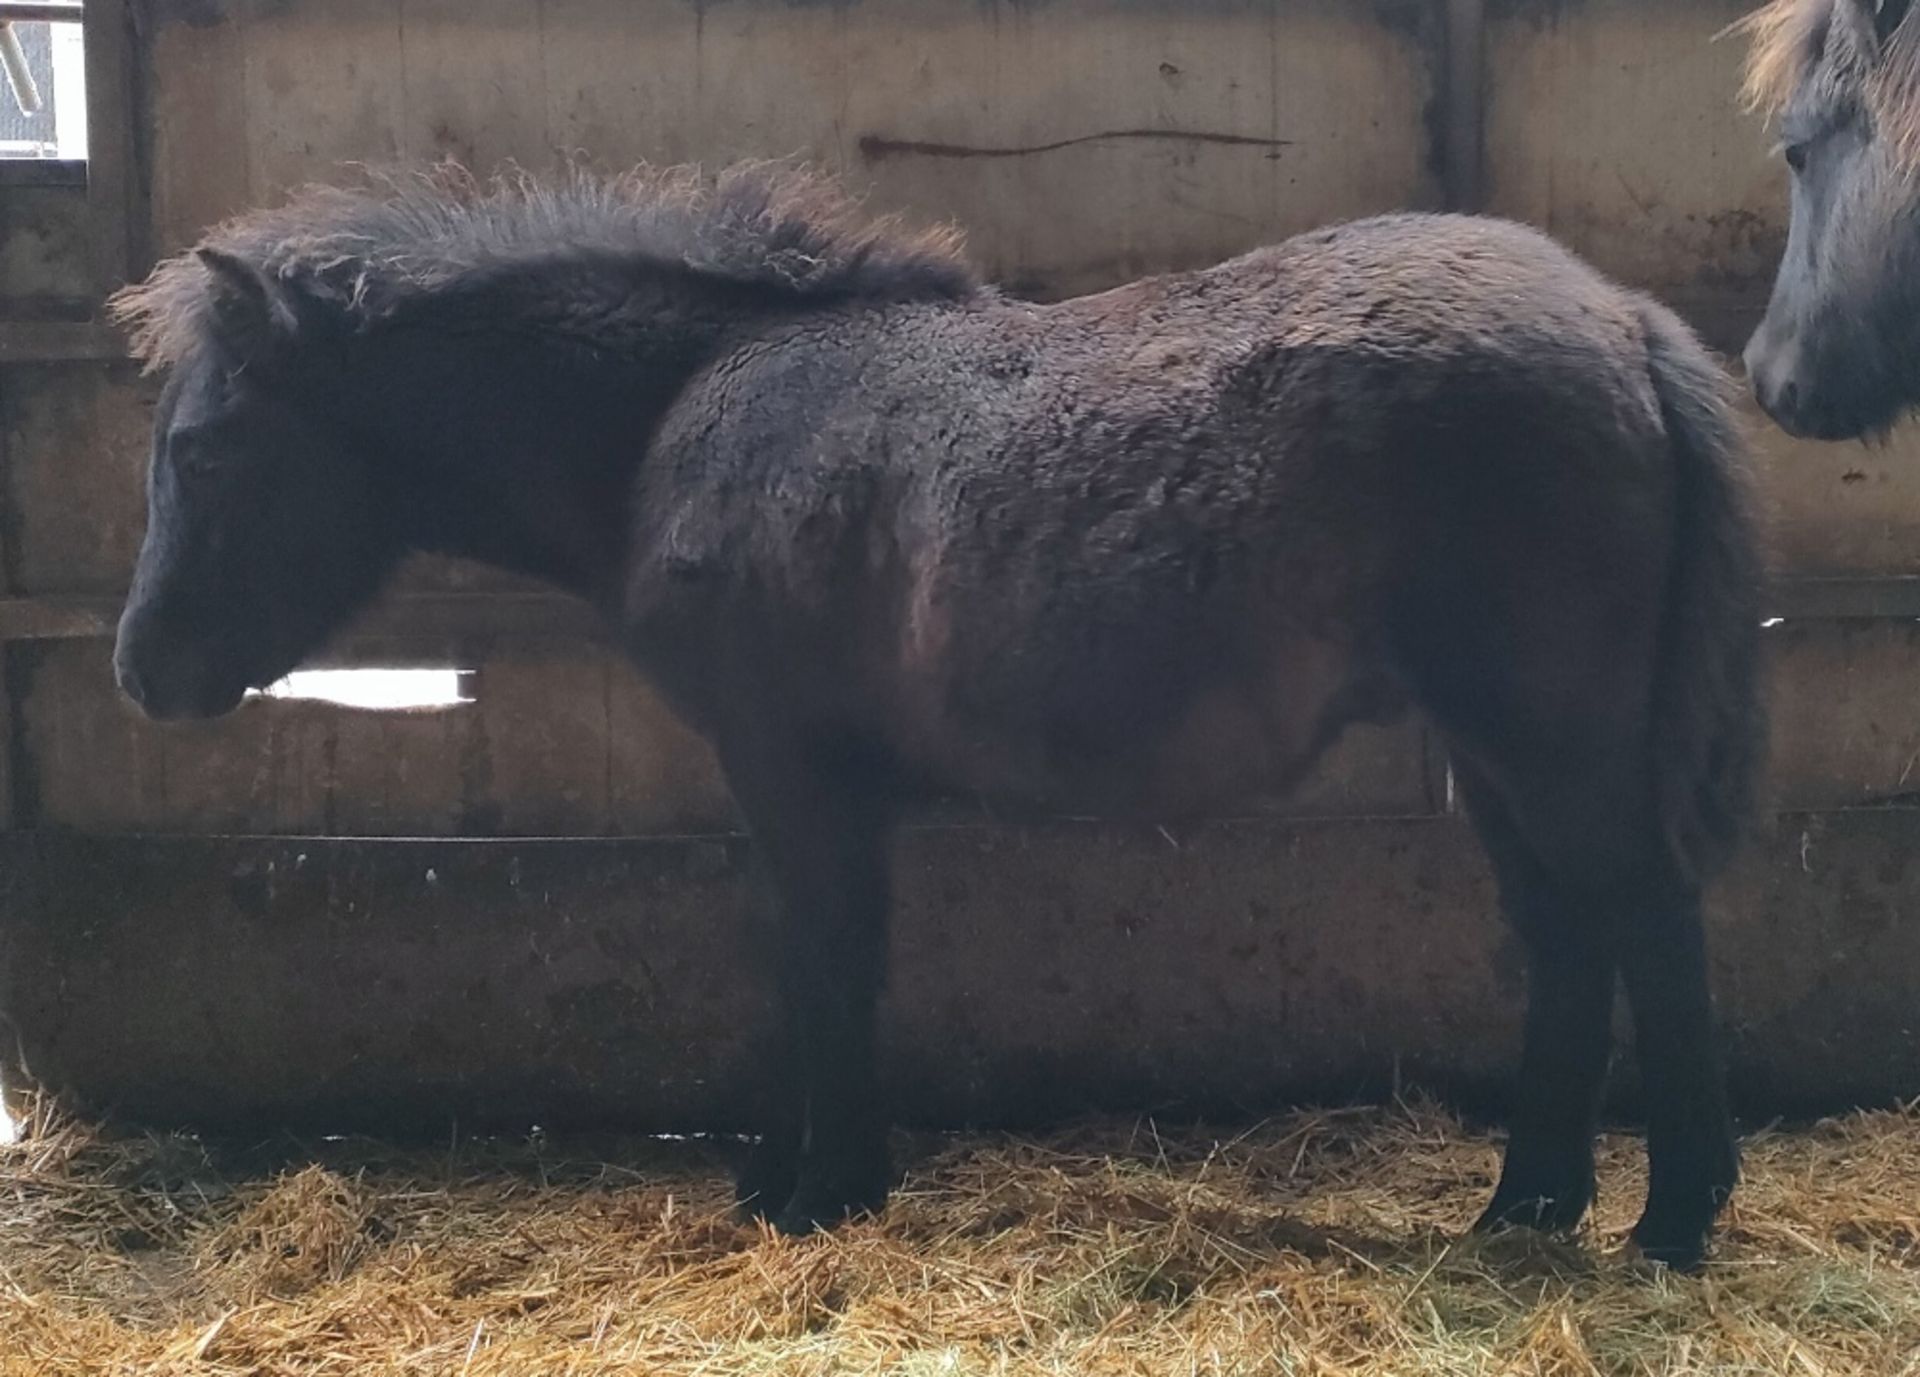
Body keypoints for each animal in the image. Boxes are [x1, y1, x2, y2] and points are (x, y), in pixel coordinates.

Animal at [101, 166, 1758, 1275]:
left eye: (208, 446)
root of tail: (1622, 319)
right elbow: (834, 964)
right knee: (1569, 937)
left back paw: (1668, 1221)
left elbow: (822, 964)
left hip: (1548, 738)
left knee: (1648, 919)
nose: (142, 670)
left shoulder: (793, 771)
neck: (686, 408)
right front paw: (819, 1180)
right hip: (1498, 752)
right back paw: (1527, 1205)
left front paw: (813, 1190)